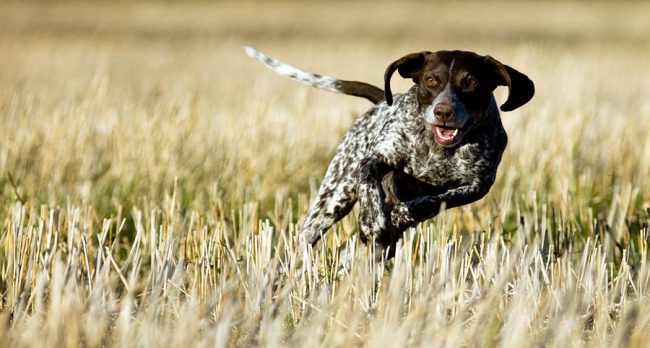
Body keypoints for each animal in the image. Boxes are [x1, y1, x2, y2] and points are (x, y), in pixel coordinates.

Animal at [243, 47, 532, 258]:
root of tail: (380, 101)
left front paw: (399, 216)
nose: (444, 111)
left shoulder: (476, 187)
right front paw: (373, 219)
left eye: (470, 81)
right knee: (307, 238)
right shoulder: (374, 159)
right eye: (431, 80)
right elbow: (369, 184)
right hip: (332, 199)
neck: (438, 149)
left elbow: (428, 203)